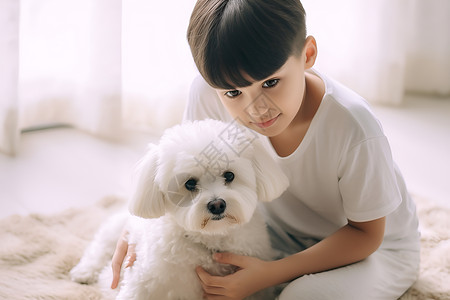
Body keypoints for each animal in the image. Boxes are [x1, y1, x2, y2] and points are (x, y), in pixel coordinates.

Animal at [70, 118, 288, 298]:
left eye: (229, 175)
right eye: (190, 183)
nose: (217, 205)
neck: (210, 239)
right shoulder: (144, 281)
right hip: (120, 230)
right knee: (101, 246)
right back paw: (84, 271)